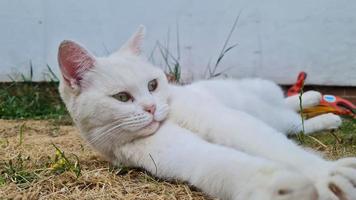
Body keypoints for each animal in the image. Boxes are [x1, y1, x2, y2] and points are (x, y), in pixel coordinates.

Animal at [58, 25, 356, 200]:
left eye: (153, 85)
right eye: (122, 97)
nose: (152, 108)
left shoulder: (227, 122)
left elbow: (279, 149)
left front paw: (327, 174)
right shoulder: (179, 153)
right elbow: (225, 165)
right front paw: (281, 187)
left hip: (265, 104)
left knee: (289, 116)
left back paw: (318, 101)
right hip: (273, 115)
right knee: (292, 121)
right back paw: (325, 112)